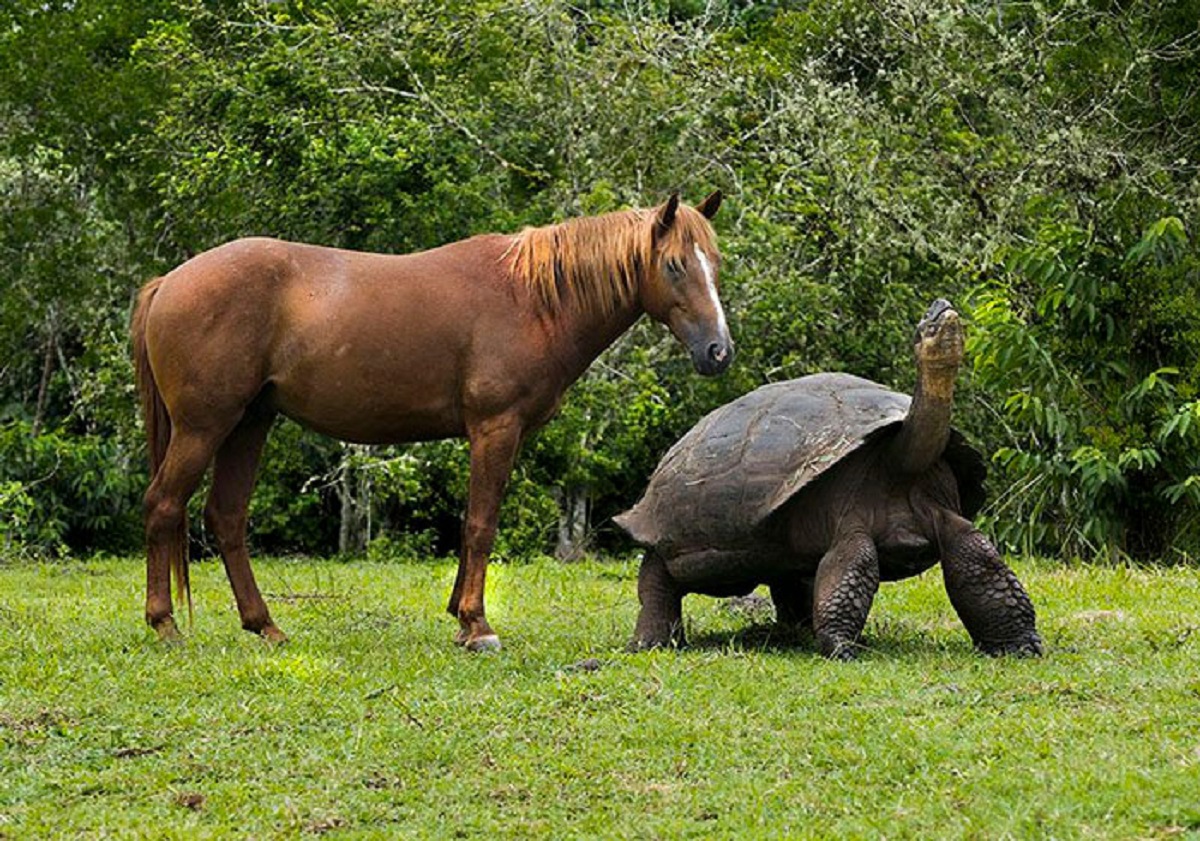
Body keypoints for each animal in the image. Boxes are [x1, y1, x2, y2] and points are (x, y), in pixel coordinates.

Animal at [131, 191, 729, 647]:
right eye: (675, 265)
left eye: (715, 264)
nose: (719, 352)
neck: (532, 299)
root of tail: (168, 282)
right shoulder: (495, 428)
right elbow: (481, 524)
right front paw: (477, 625)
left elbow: (470, 523)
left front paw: (459, 616)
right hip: (204, 427)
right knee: (163, 505)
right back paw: (165, 626)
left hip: (249, 424)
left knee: (226, 518)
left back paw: (265, 627)